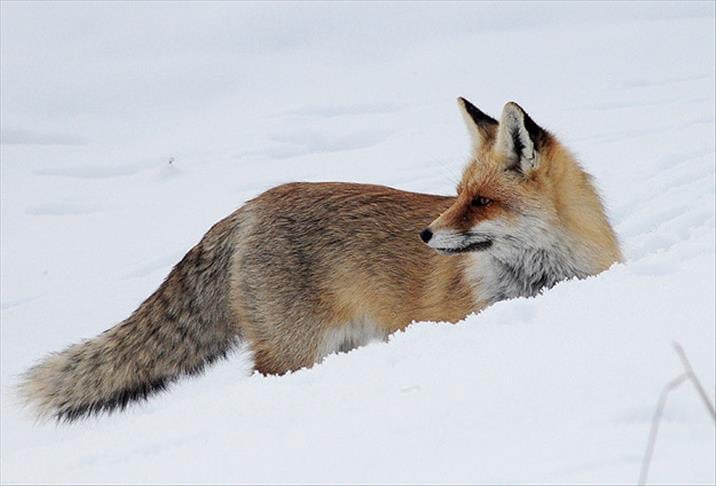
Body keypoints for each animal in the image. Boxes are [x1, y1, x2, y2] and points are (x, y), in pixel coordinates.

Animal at [16, 99, 620, 422]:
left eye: (481, 202)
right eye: (456, 195)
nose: (425, 234)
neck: (540, 279)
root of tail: (250, 206)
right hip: (294, 353)